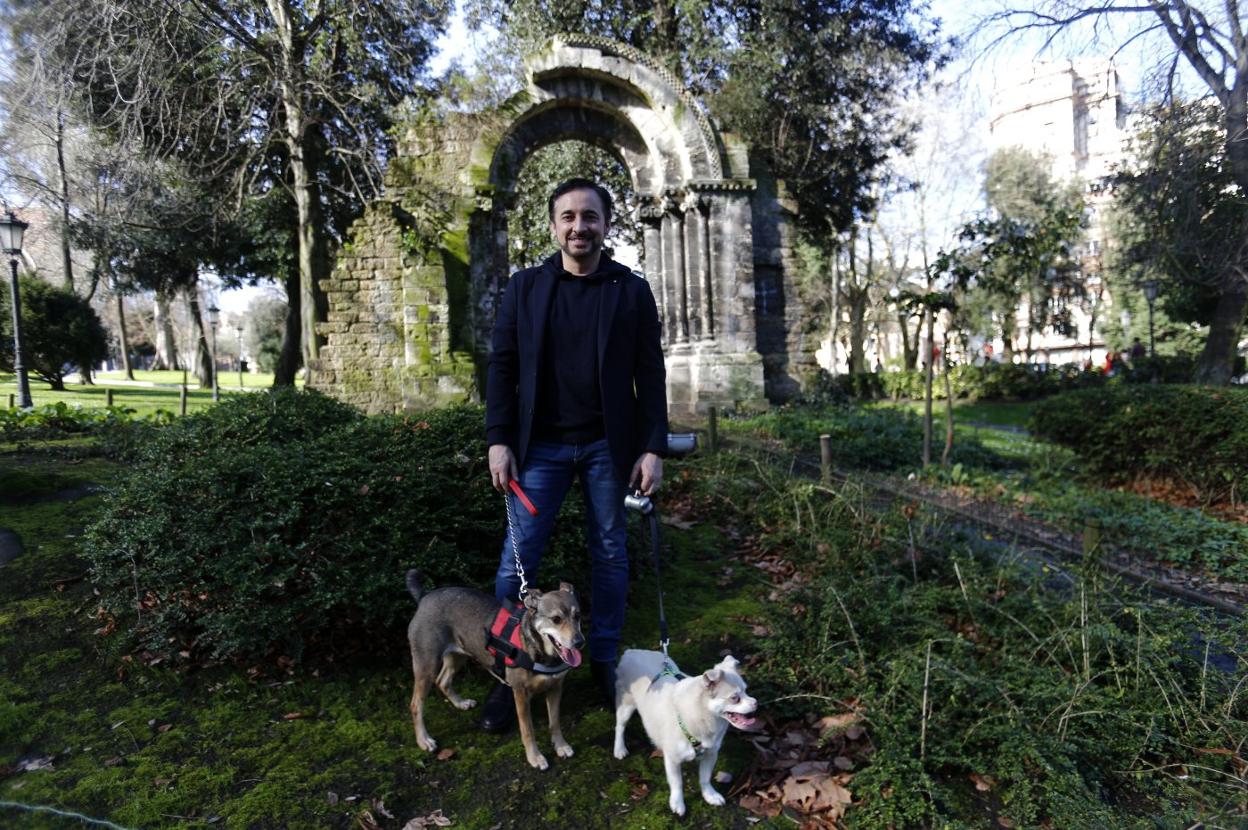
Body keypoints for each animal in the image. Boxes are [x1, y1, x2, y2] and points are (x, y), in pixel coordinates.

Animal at [406, 569, 586, 768]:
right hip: (426, 666)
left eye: (578, 615)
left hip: (458, 655)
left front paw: (560, 745)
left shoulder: (555, 687)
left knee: (443, 681)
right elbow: (528, 730)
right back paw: (423, 740)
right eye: (556, 619)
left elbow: (554, 722)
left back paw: (460, 703)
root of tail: (424, 596)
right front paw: (535, 757)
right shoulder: (521, 693)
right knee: (416, 704)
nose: (579, 642)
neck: (541, 652)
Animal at [609, 649, 753, 813]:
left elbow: (705, 778)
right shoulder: (673, 760)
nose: (755, 703)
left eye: (746, 691)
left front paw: (710, 795)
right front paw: (677, 803)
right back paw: (619, 748)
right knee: (620, 726)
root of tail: (632, 651)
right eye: (735, 698)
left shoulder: (710, 754)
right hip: (625, 705)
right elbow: (677, 783)